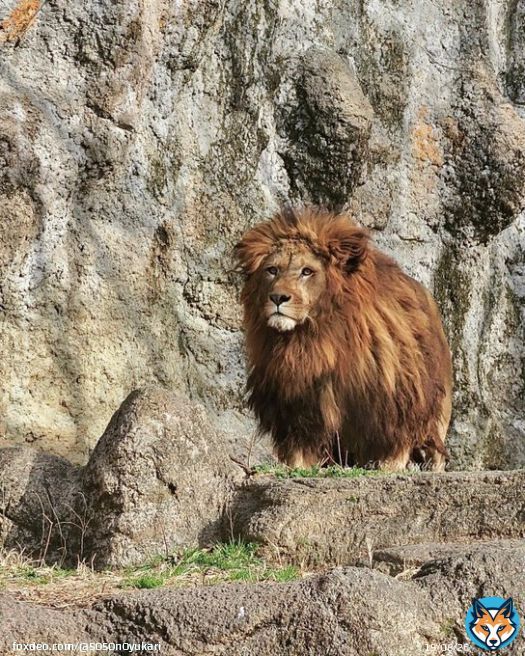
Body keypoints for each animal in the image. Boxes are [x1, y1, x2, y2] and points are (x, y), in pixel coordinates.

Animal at [234, 207, 453, 471]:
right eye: (272, 270)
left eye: (307, 271)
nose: (278, 297)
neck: (313, 340)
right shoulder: (298, 400)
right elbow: (301, 443)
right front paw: (297, 467)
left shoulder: (391, 395)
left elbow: (395, 439)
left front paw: (388, 467)